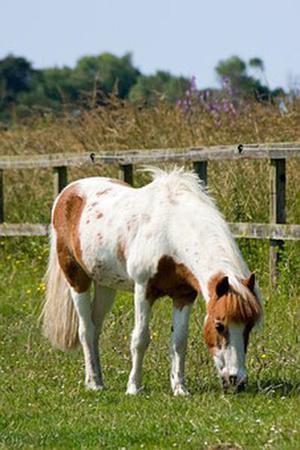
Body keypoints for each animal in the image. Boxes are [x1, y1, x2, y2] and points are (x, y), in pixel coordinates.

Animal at [42, 167, 262, 396]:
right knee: (85, 330)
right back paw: (93, 383)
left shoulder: (184, 295)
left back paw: (98, 380)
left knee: (95, 328)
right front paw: (133, 387)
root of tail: (67, 192)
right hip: (77, 279)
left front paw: (179, 388)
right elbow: (140, 339)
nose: (236, 381)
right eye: (219, 325)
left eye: (249, 326)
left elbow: (179, 341)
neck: (171, 231)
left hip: (105, 286)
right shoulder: (143, 289)